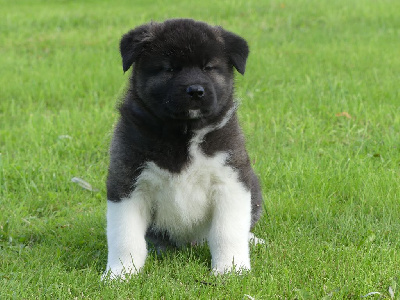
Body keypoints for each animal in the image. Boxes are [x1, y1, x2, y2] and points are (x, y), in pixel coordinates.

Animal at [104, 19, 262, 280]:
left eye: (208, 67)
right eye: (169, 69)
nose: (195, 90)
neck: (182, 133)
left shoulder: (231, 180)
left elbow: (227, 231)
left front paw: (230, 269)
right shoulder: (126, 182)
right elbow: (125, 236)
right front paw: (121, 273)